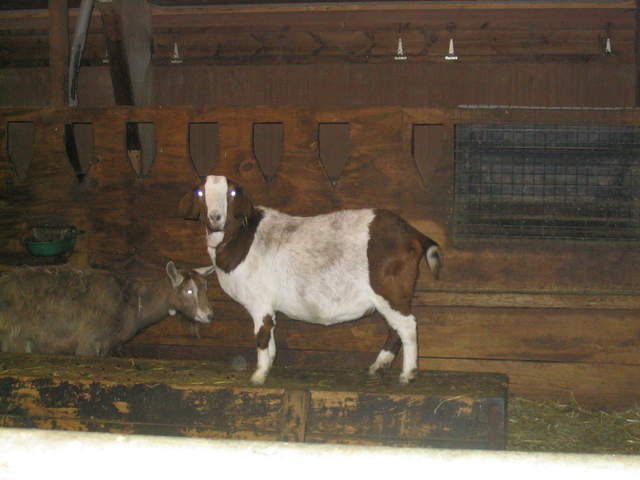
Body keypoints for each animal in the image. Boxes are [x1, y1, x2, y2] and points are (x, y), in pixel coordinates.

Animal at [180, 176, 442, 385]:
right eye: (200, 192)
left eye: (231, 193)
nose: (215, 218)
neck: (240, 239)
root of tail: (412, 233)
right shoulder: (268, 305)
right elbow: (270, 334)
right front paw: (270, 364)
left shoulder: (260, 301)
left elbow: (262, 335)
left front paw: (258, 375)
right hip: (389, 296)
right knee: (396, 328)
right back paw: (379, 366)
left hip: (389, 289)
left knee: (407, 326)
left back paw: (407, 374)